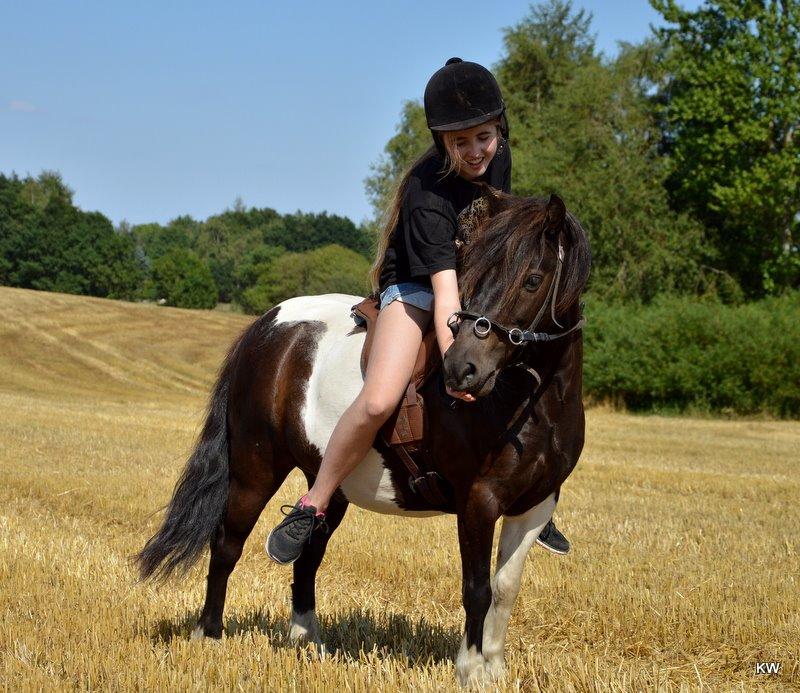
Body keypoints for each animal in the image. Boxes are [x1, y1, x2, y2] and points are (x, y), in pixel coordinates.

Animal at [136, 189, 588, 688]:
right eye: (471, 276)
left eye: (532, 280)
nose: (461, 369)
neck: (532, 402)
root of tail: (265, 326)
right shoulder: (478, 502)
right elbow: (478, 588)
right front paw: (469, 670)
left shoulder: (535, 504)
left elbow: (506, 590)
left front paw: (495, 669)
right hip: (256, 468)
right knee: (227, 543)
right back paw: (209, 635)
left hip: (327, 485)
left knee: (307, 552)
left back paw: (308, 643)